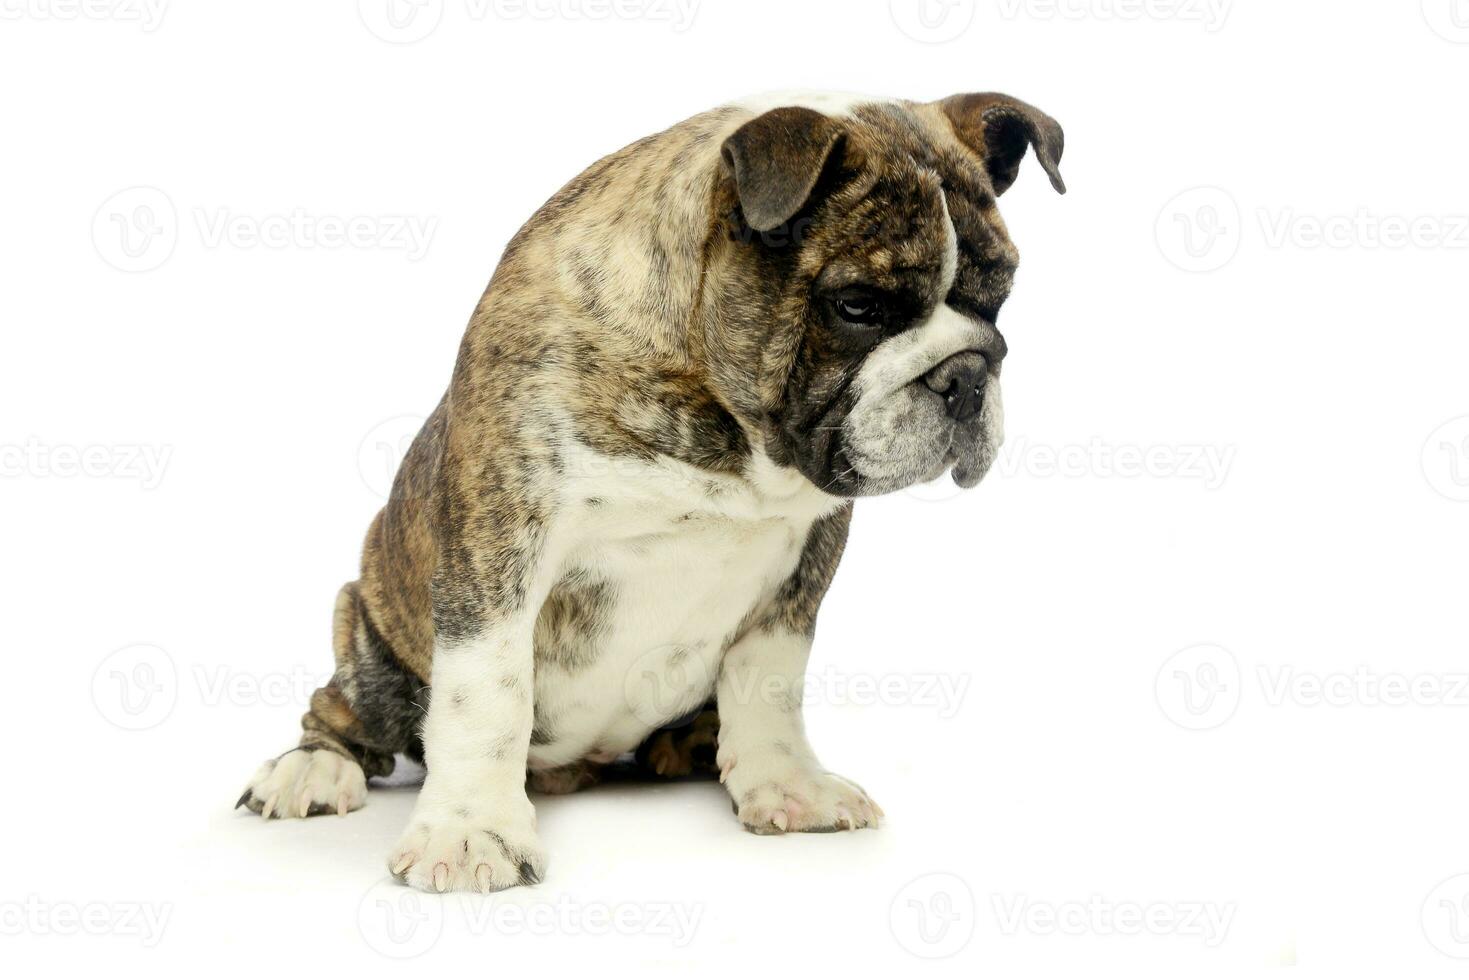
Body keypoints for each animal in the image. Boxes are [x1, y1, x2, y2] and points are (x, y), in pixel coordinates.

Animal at [240, 88, 1069, 893]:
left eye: (999, 296)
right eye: (857, 306)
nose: (966, 375)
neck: (728, 426)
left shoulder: (803, 565)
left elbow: (768, 679)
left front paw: (785, 781)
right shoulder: (499, 548)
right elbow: (487, 695)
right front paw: (473, 829)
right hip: (369, 628)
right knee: (347, 711)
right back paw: (312, 768)